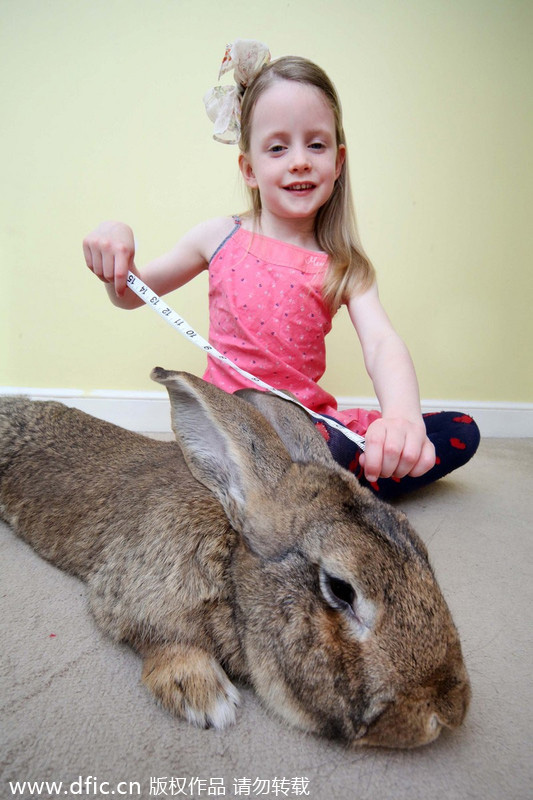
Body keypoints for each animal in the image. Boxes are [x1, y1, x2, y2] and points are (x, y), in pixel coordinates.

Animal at [0, 367, 471, 748]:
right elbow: (162, 641)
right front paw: (205, 696)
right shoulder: (131, 595)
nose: (447, 713)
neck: (230, 571)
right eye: (341, 589)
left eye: (422, 551)